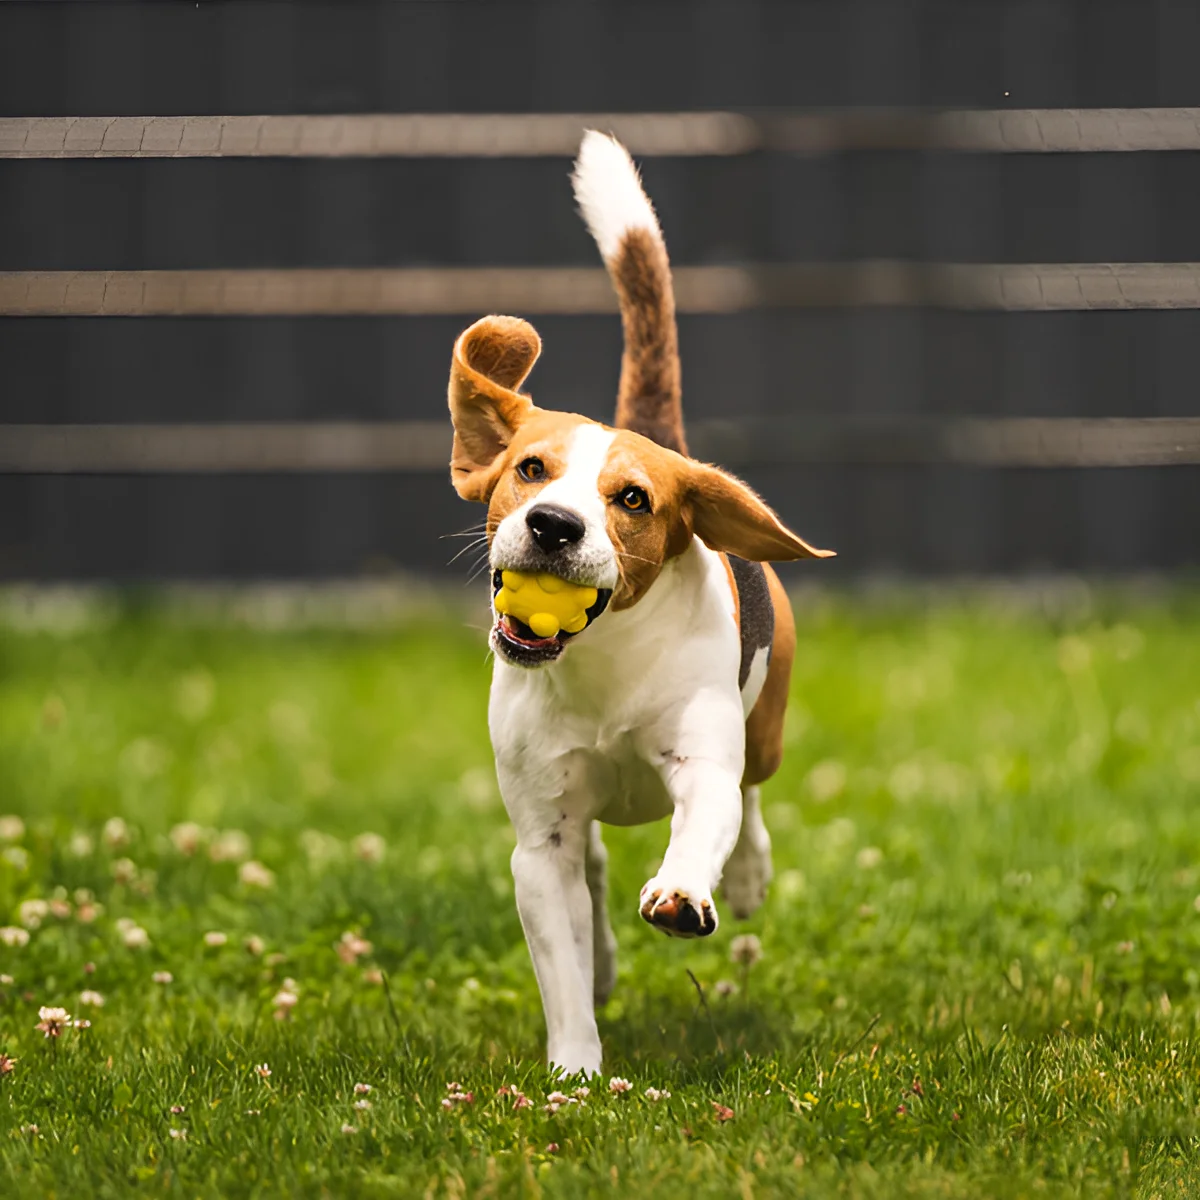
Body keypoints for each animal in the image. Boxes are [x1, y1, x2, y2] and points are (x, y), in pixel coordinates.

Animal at [446, 131, 830, 1080]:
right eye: (530, 469)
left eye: (632, 500)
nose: (552, 526)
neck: (599, 664)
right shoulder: (539, 842)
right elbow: (561, 958)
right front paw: (576, 1071)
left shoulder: (701, 764)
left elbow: (705, 821)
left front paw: (689, 891)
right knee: (592, 872)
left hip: (766, 722)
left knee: (753, 794)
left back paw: (746, 876)